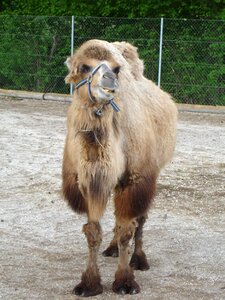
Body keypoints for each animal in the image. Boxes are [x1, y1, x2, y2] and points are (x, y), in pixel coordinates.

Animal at [62, 38, 178, 296]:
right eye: (84, 67)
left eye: (115, 69)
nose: (109, 80)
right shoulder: (87, 181)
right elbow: (92, 231)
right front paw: (89, 284)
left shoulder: (135, 178)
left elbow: (128, 229)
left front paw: (125, 281)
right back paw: (112, 248)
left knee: (140, 219)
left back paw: (139, 259)